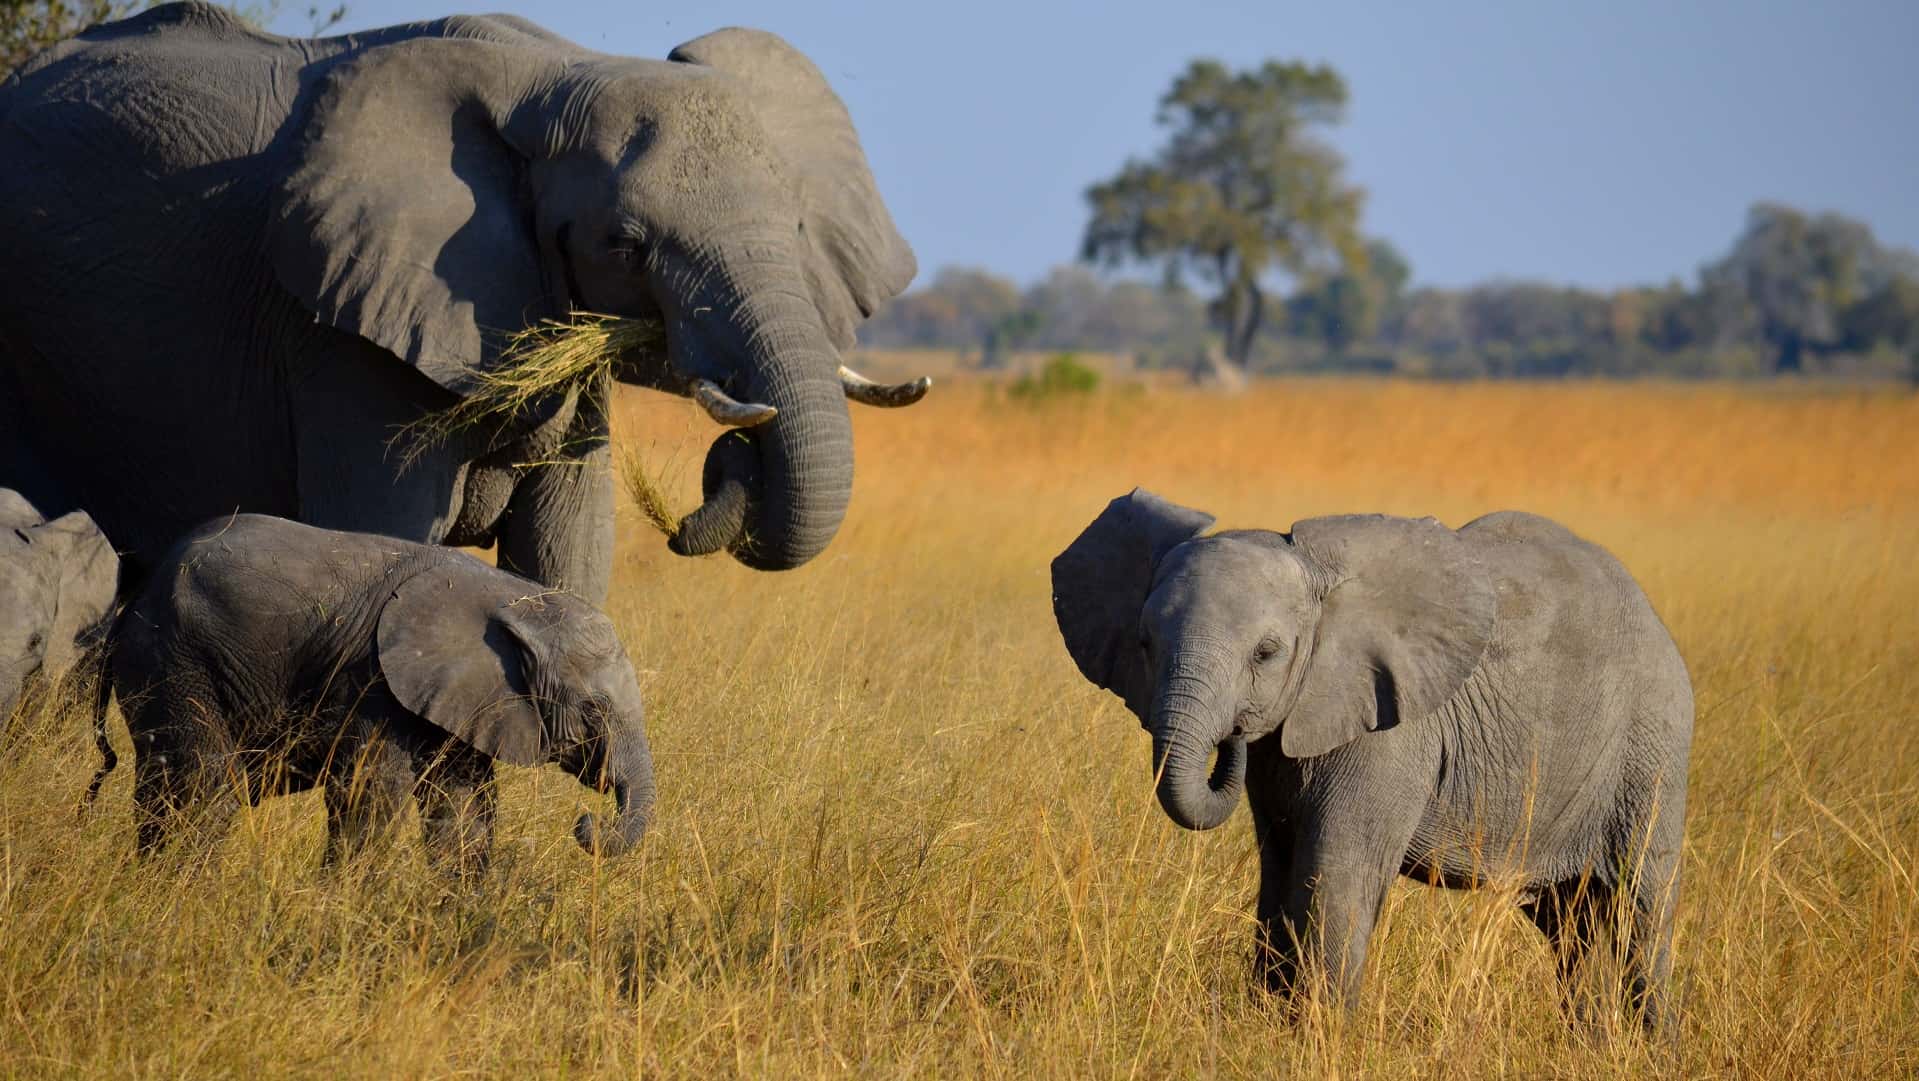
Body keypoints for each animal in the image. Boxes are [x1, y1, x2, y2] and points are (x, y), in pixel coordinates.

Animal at [0, 3, 926, 606]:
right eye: (625, 245)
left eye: (797, 225)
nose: (727, 461)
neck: (557, 72)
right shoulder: (336, 338)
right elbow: (382, 541)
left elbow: (565, 561)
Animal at [97, 514, 655, 874]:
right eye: (593, 712)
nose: (586, 823)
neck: (519, 599)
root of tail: (134, 597)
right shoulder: (374, 685)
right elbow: (370, 795)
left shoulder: (465, 699)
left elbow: (464, 812)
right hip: (175, 660)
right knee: (204, 791)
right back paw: (185, 891)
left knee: (164, 789)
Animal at [1051, 489, 1693, 1030]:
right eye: (1144, 644)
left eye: (1266, 653)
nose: (1230, 738)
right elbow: (1280, 867)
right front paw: (1271, 1027)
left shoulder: (1388, 729)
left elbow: (1337, 870)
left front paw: (1322, 1038)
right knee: (1573, 923)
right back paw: (1593, 1041)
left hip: (1653, 742)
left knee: (1641, 903)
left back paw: (1651, 1046)